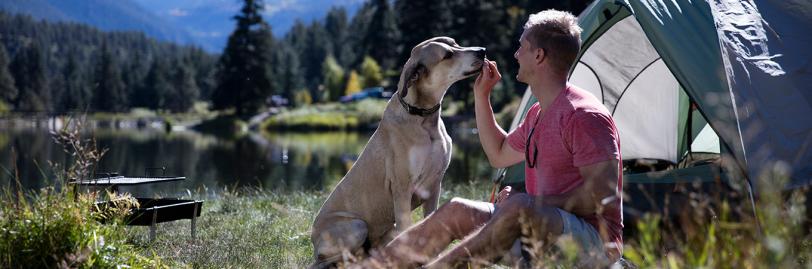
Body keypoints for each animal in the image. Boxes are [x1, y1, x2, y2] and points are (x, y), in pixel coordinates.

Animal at [310, 37, 486, 266]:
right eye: (447, 55)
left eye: (456, 43)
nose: (482, 51)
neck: (423, 117)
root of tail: (314, 240)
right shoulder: (402, 187)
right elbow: (406, 230)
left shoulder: (435, 185)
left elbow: (432, 223)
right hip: (357, 226)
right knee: (330, 259)